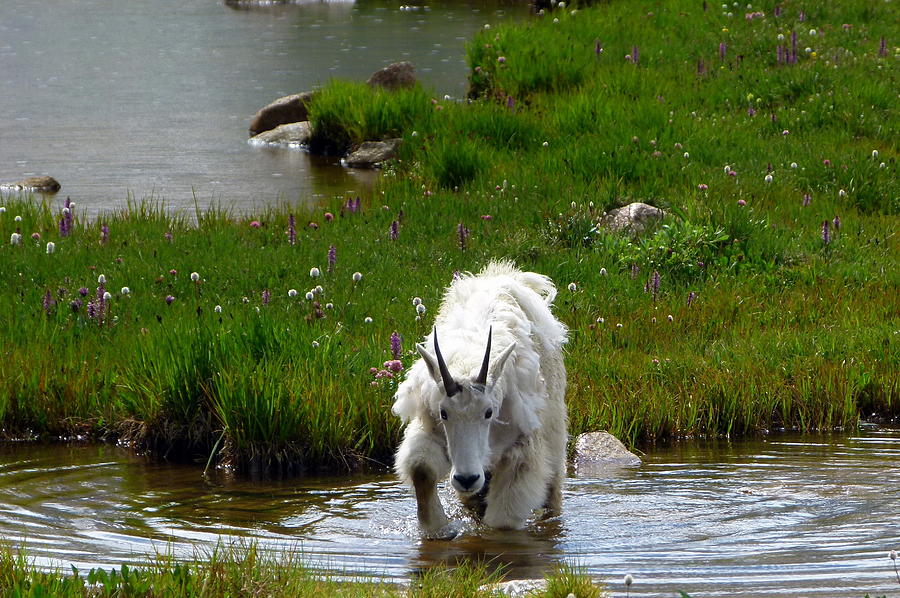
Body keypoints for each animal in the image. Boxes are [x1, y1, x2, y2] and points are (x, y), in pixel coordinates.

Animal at [390, 262, 568, 540]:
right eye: (444, 413)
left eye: (489, 412)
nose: (466, 479)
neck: (468, 363)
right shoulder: (429, 423)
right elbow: (421, 468)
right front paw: (438, 528)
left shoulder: (522, 444)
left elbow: (503, 518)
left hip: (554, 426)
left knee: (553, 486)